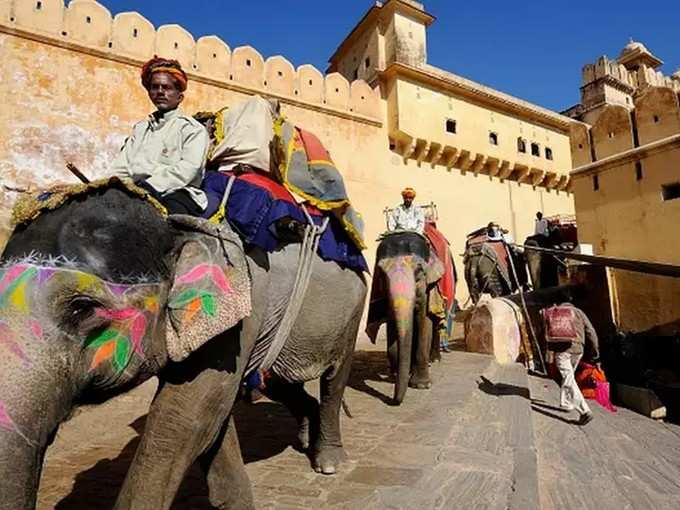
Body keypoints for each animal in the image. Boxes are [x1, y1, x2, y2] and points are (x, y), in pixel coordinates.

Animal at [0, 182, 366, 510]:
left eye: (82, 308)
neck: (173, 218)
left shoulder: (243, 311)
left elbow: (182, 418)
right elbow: (211, 416)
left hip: (352, 312)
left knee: (334, 379)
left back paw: (329, 461)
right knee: (276, 379)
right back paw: (305, 435)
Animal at [366, 230, 446, 402]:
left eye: (419, 271)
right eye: (381, 274)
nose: (393, 400)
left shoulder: (427, 289)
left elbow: (424, 322)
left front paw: (421, 385)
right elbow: (393, 326)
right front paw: (398, 373)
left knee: (436, 325)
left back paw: (434, 359)